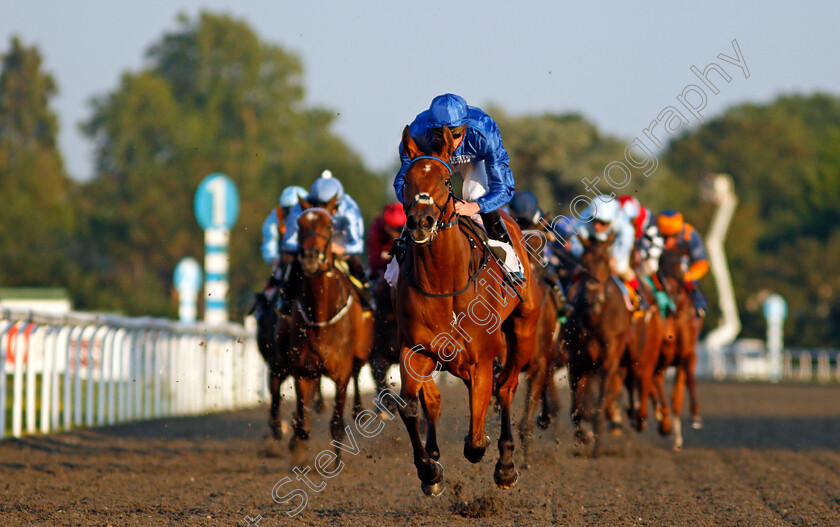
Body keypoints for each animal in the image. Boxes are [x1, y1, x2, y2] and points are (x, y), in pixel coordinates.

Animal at [286, 200, 374, 460]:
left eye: (329, 225)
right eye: (300, 225)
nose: (310, 257)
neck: (321, 315)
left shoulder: (341, 371)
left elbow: (336, 424)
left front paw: (336, 462)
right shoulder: (303, 369)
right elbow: (302, 423)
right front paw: (297, 445)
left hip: (360, 353)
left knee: (358, 374)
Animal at [394, 126, 540, 498]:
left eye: (446, 181)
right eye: (406, 180)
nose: (421, 221)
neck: (443, 283)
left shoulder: (481, 360)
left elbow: (475, 440)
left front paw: (487, 448)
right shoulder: (415, 350)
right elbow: (410, 406)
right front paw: (429, 471)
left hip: (524, 330)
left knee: (507, 386)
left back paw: (505, 465)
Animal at [564, 233, 632, 456]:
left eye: (605, 261)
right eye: (583, 262)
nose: (592, 297)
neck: (594, 319)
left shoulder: (609, 363)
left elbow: (600, 403)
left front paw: (596, 446)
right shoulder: (576, 361)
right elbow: (577, 408)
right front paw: (583, 435)